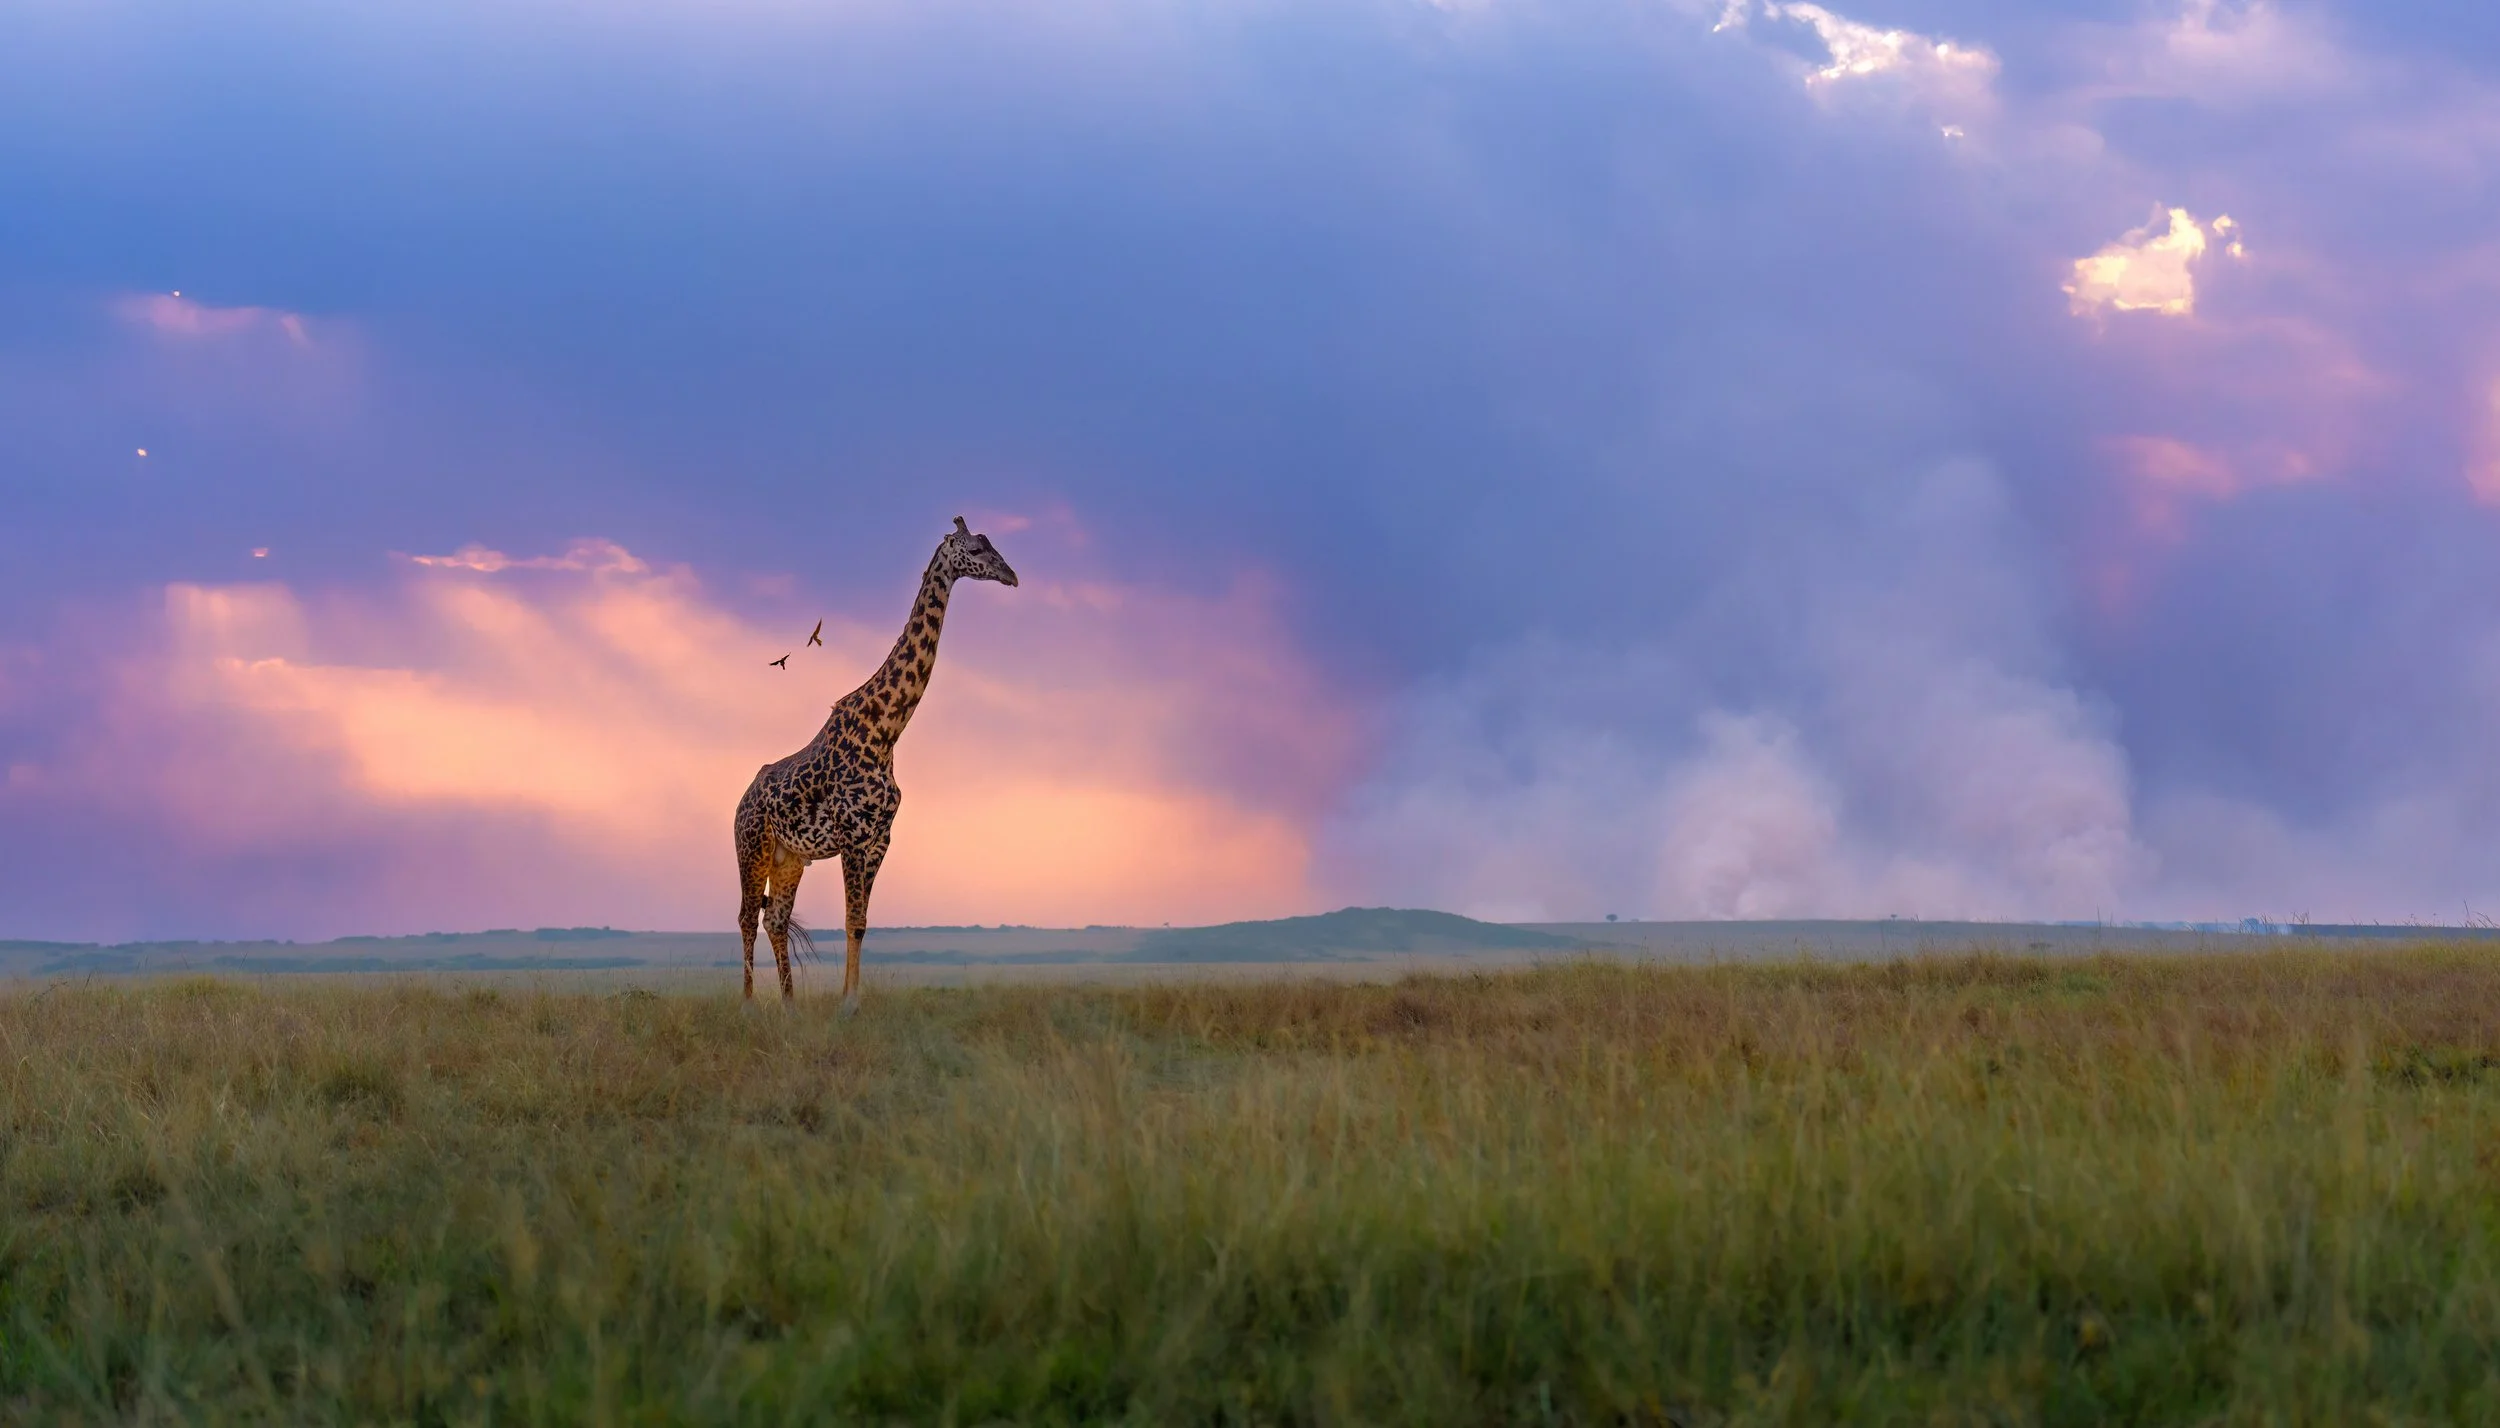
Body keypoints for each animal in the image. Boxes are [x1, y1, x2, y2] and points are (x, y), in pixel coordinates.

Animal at [733, 517, 1018, 1010]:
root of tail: (739, 804)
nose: (1012, 575)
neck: (886, 731)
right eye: (977, 550)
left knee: (775, 919)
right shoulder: (851, 834)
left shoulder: (881, 838)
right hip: (752, 849)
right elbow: (851, 920)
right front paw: (848, 1004)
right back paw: (750, 1004)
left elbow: (862, 923)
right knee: (748, 917)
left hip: (790, 858)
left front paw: (851, 999)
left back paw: (789, 1004)